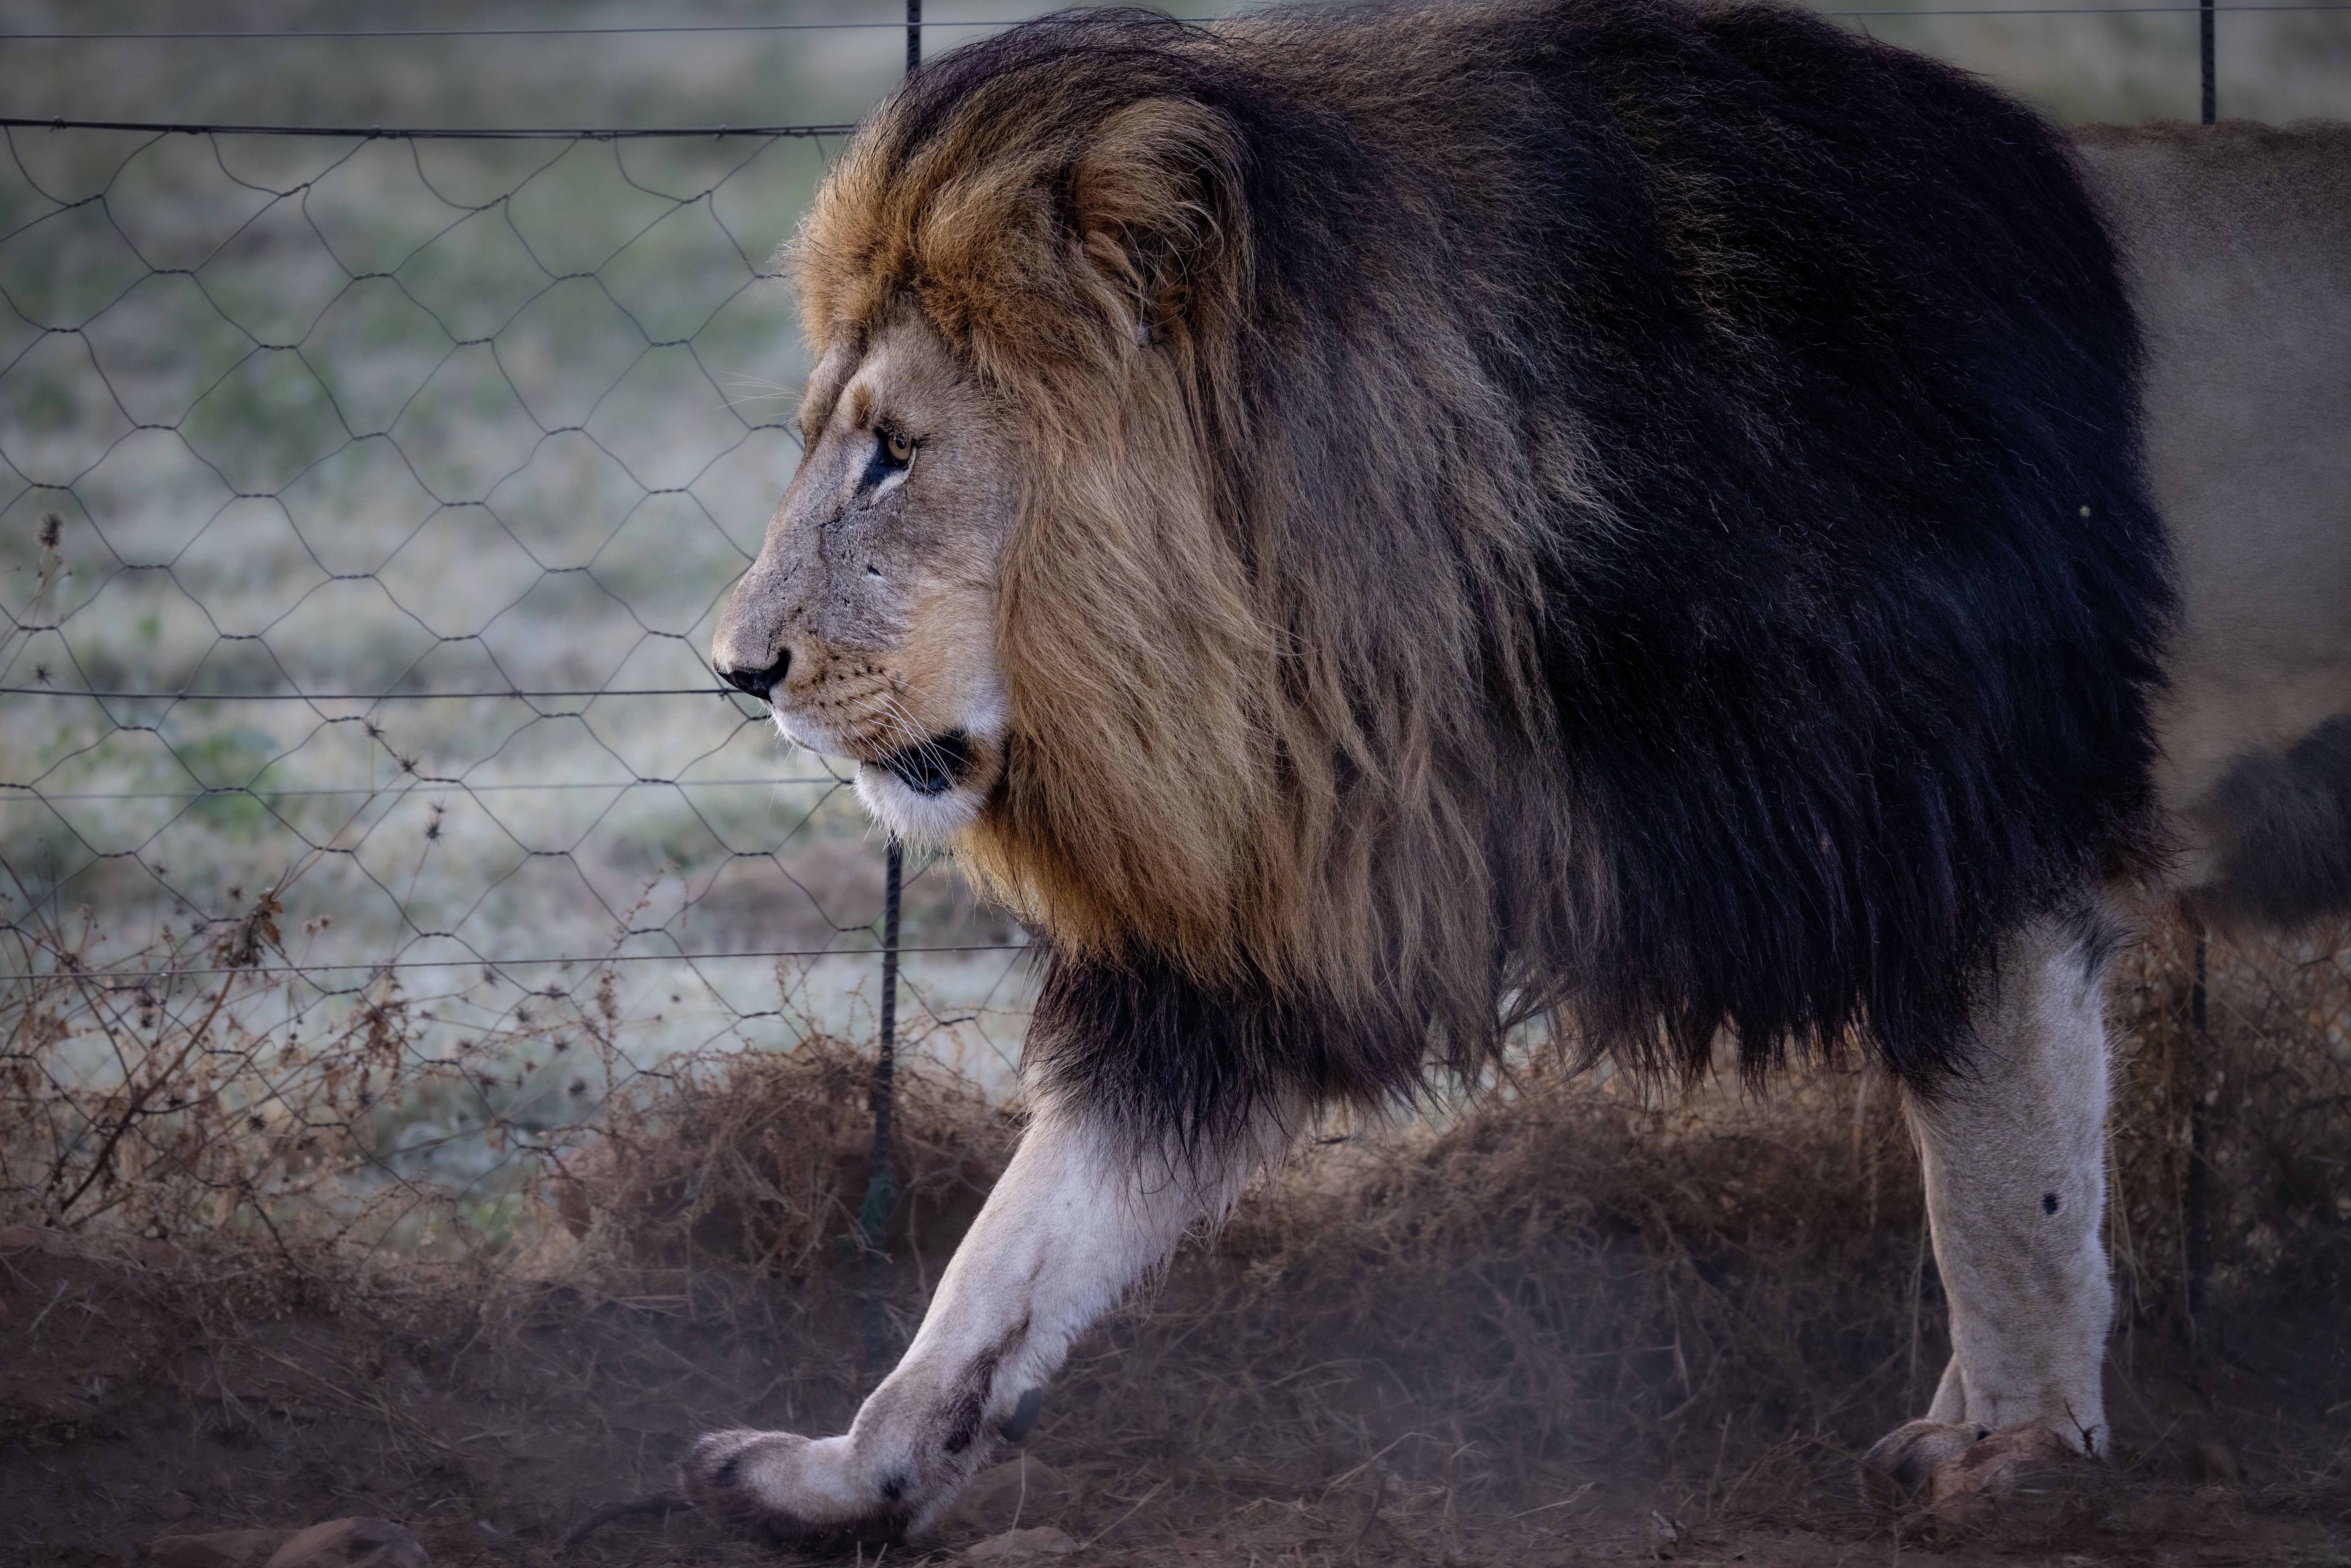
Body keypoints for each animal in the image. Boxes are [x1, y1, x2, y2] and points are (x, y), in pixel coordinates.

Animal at [694, 0, 2351, 1542]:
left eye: (896, 454)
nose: (736, 667)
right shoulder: (1278, 926)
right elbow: (1026, 1237)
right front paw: (850, 1469)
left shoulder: (1977, 844)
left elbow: (2007, 1203)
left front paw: (2015, 1467)